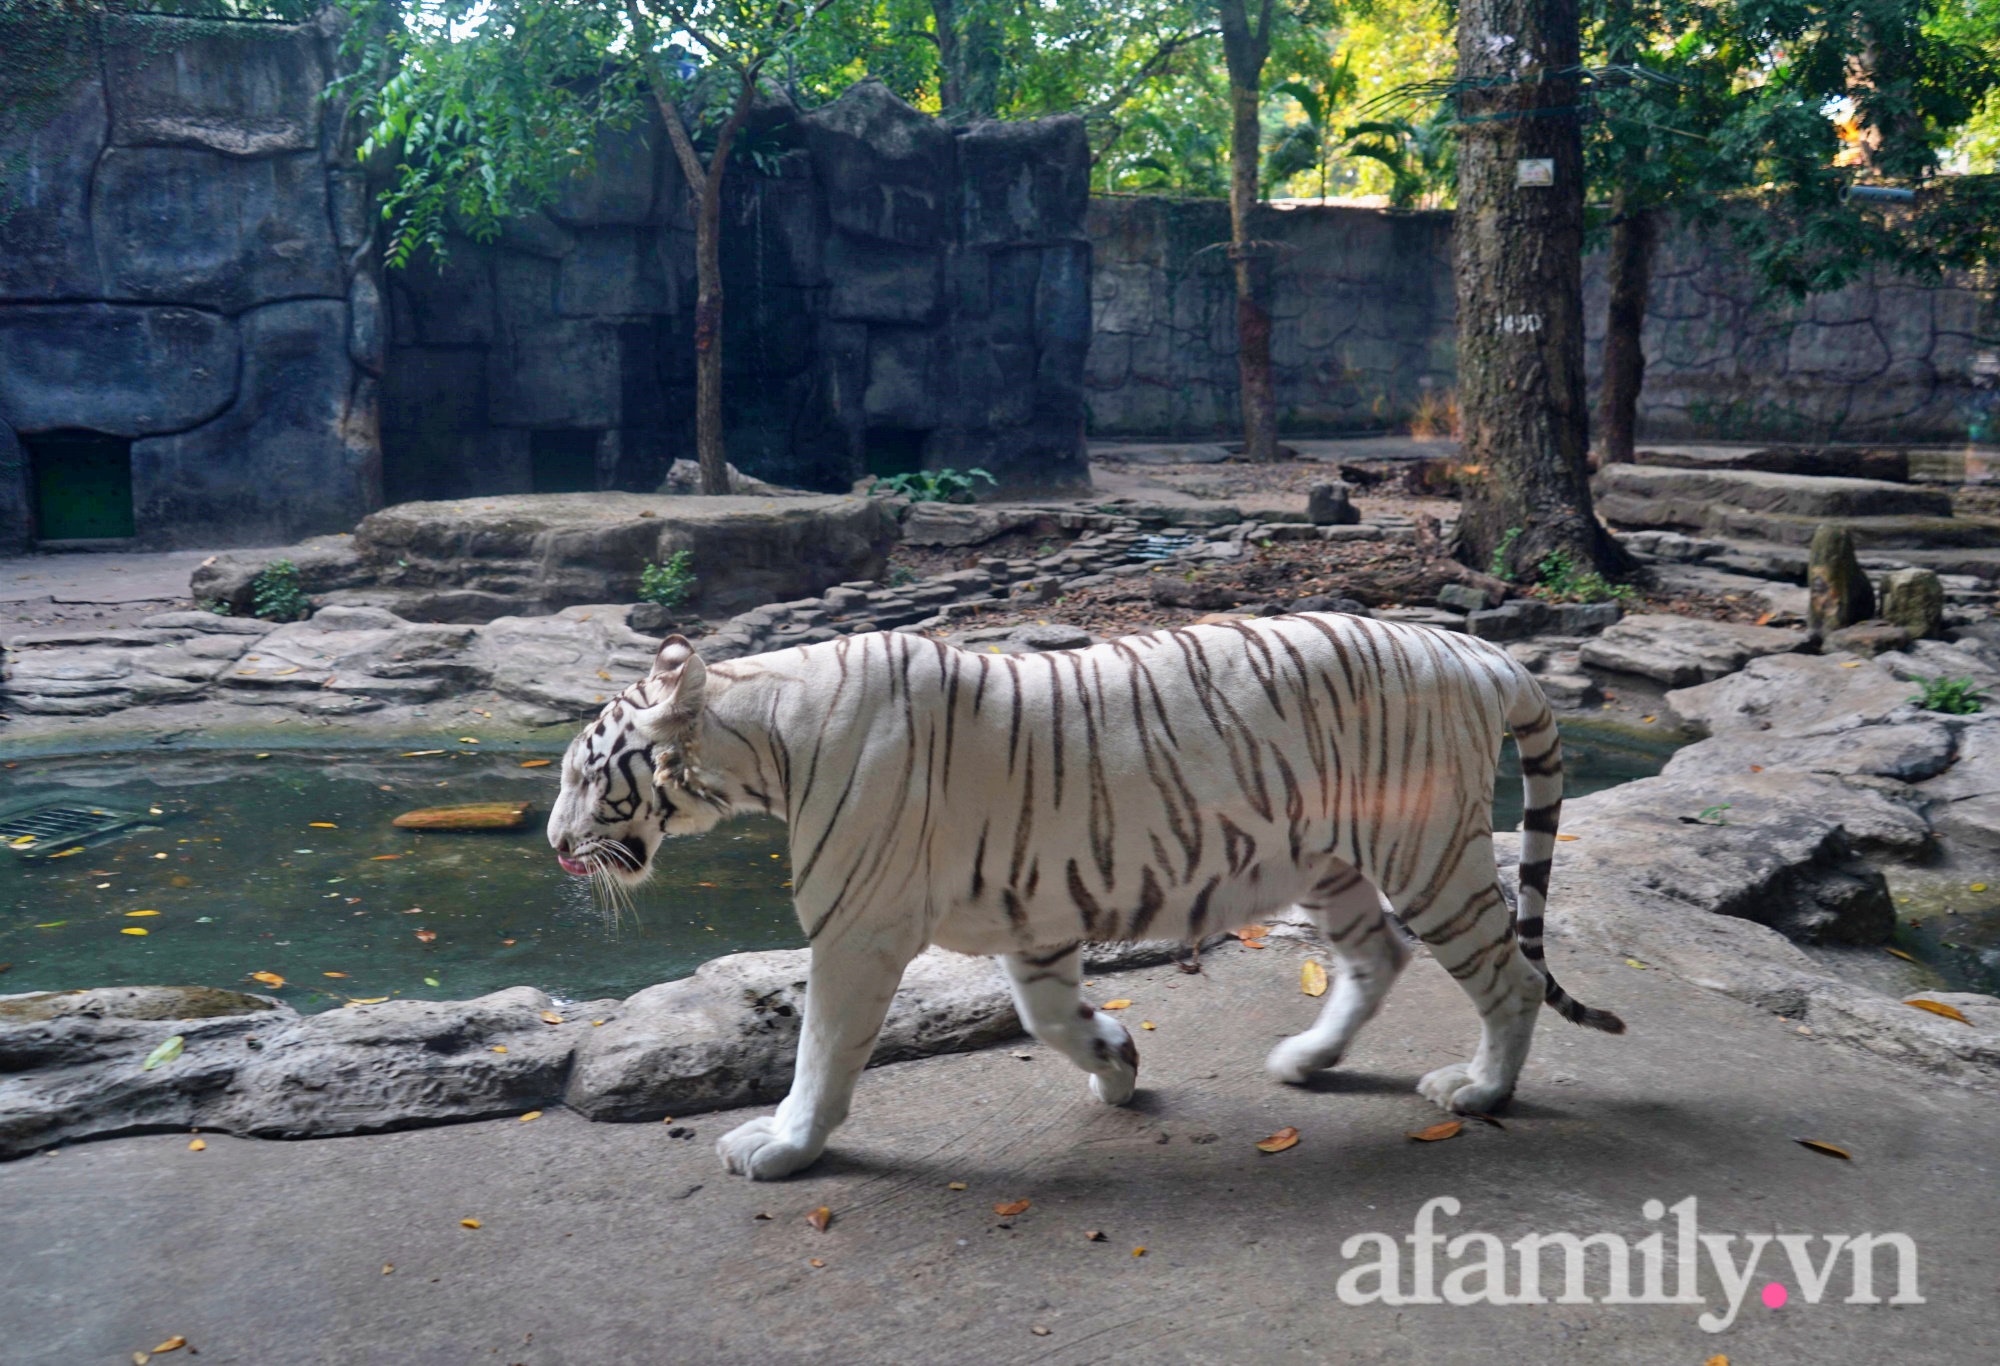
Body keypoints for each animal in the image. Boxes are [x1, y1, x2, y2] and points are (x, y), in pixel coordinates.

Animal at [548, 616, 1624, 1184]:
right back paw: (1305, 1059)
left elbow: (820, 1050)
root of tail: (1473, 648)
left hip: (1429, 855)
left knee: (1508, 977)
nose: (556, 846)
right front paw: (1118, 1064)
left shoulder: (856, 929)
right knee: (1378, 954)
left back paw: (1479, 1090)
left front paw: (780, 1144)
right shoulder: (1036, 920)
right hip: (1331, 859)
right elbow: (1050, 1017)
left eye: (588, 774)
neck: (760, 733)